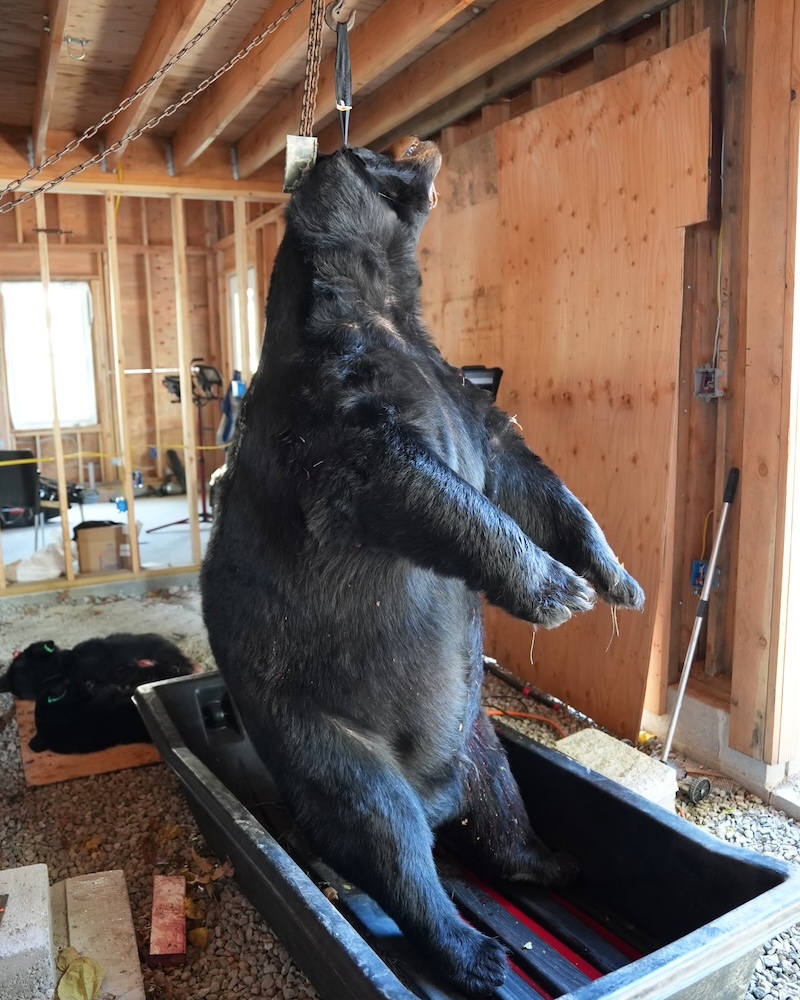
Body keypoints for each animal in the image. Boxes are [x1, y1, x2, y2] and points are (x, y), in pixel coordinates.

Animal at [202, 137, 644, 996]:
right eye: (371, 150)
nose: (419, 140)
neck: (383, 310)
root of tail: (434, 792)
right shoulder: (328, 405)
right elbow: (410, 481)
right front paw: (560, 591)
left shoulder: (459, 395)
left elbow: (525, 476)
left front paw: (616, 581)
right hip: (320, 734)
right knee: (384, 835)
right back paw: (476, 952)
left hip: (478, 733)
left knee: (502, 803)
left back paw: (555, 863)